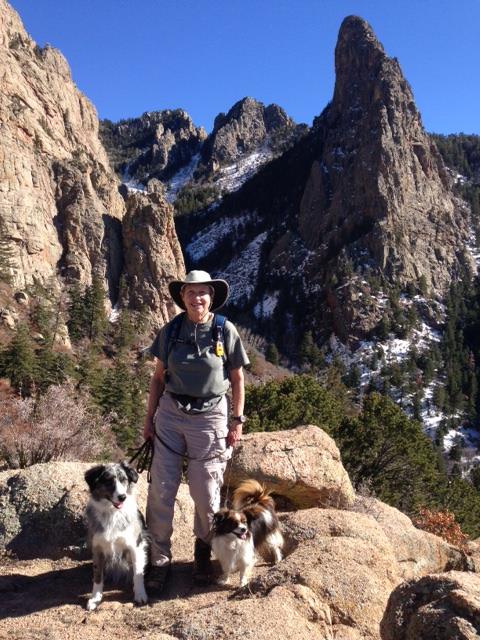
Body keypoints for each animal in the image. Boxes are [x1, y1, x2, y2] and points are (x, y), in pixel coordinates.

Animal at [84, 462, 149, 610]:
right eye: (108, 480)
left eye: (123, 479)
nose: (122, 497)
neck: (112, 513)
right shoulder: (97, 549)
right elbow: (97, 576)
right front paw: (95, 598)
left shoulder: (135, 547)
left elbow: (138, 573)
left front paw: (140, 595)